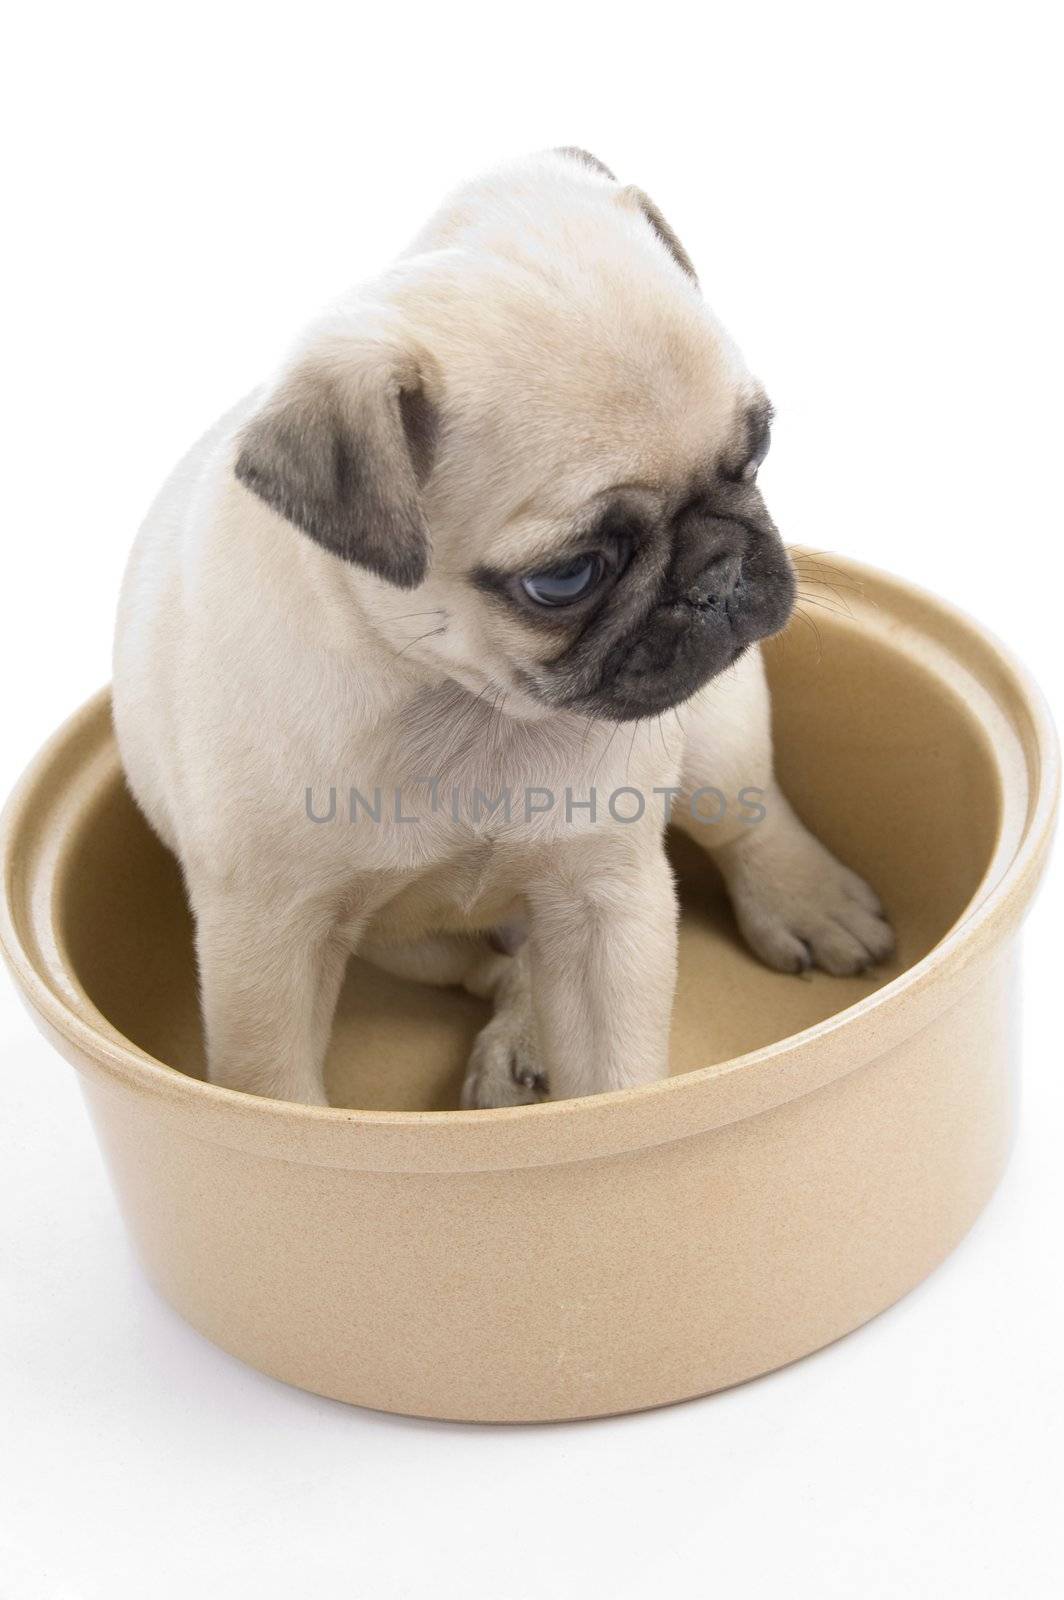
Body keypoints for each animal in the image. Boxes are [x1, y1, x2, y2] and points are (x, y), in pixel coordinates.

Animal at [112, 150, 889, 1107]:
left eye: (756, 454)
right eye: (566, 577)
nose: (716, 574)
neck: (460, 703)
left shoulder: (606, 901)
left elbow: (617, 1085)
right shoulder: (267, 944)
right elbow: (272, 1089)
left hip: (713, 732)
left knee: (746, 812)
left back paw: (808, 899)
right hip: (410, 947)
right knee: (498, 967)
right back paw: (519, 1043)